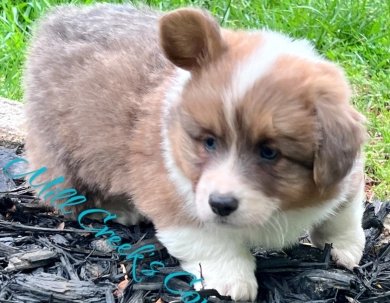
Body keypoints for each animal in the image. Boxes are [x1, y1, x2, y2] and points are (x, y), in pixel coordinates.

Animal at [22, 3, 368, 302]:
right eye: (209, 142)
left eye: (269, 152)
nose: (220, 204)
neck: (277, 209)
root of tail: (57, 19)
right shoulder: (173, 200)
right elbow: (211, 244)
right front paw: (232, 280)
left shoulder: (348, 177)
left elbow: (344, 214)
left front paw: (346, 248)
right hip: (64, 157)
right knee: (67, 195)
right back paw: (117, 209)